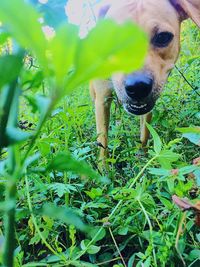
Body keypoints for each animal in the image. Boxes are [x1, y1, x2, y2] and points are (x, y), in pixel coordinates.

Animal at [88, 0, 200, 164]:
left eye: (162, 37)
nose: (138, 87)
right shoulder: (102, 100)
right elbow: (102, 140)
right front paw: (103, 168)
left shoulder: (148, 106)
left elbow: (145, 133)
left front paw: (142, 155)